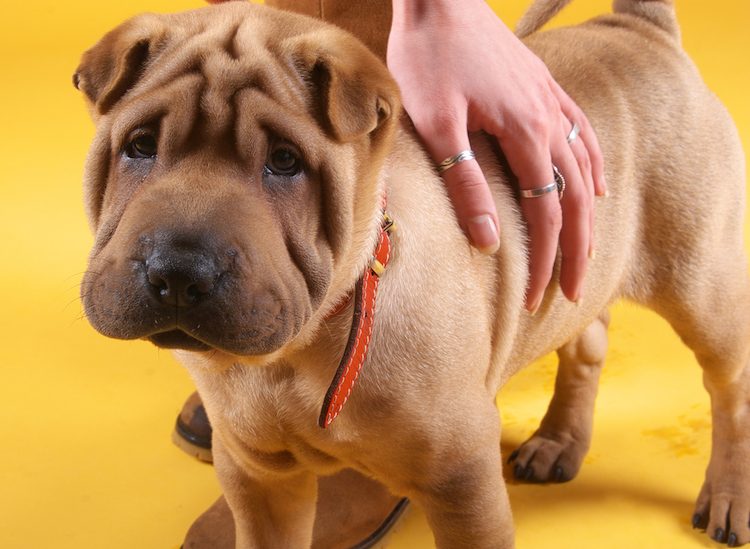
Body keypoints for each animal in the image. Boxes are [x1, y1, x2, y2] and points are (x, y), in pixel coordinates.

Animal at [76, 0, 750, 544]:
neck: (302, 349)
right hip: (578, 258)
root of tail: (638, 27)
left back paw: (728, 498)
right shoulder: (257, 474)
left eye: (286, 162)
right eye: (139, 146)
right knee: (587, 341)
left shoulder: (462, 478)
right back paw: (559, 441)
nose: (177, 271)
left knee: (730, 386)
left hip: (701, 280)